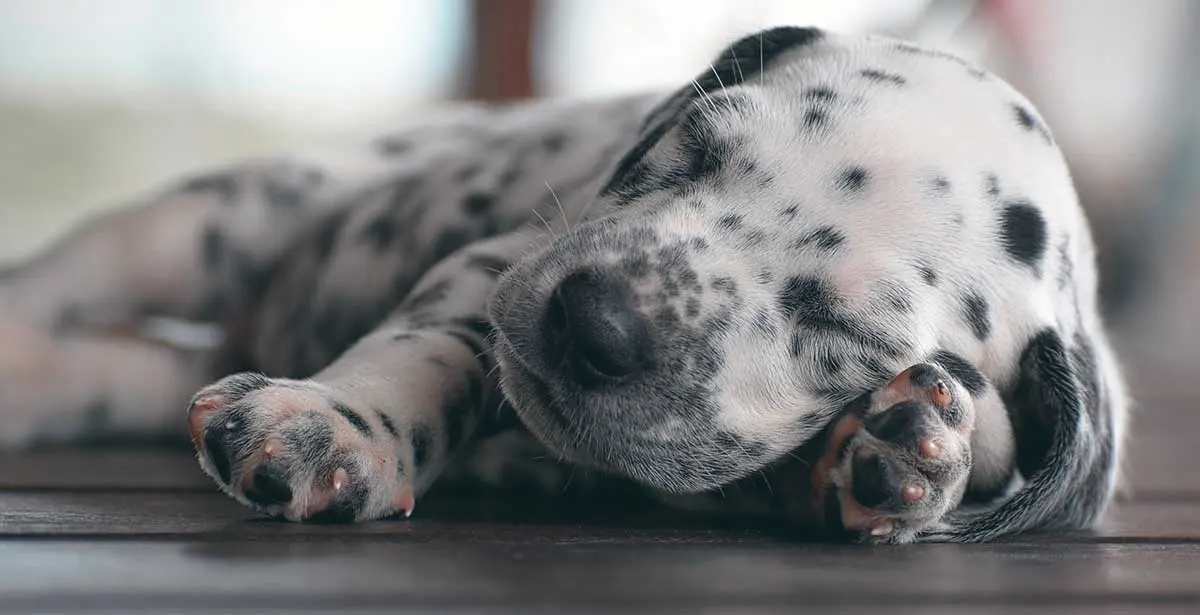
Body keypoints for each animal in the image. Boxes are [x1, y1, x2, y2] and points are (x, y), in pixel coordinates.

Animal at [0, 26, 1123, 542]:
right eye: (692, 147)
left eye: (839, 328)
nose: (592, 322)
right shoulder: (494, 265)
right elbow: (434, 346)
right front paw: (342, 423)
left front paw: (905, 447)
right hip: (211, 221)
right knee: (55, 283)